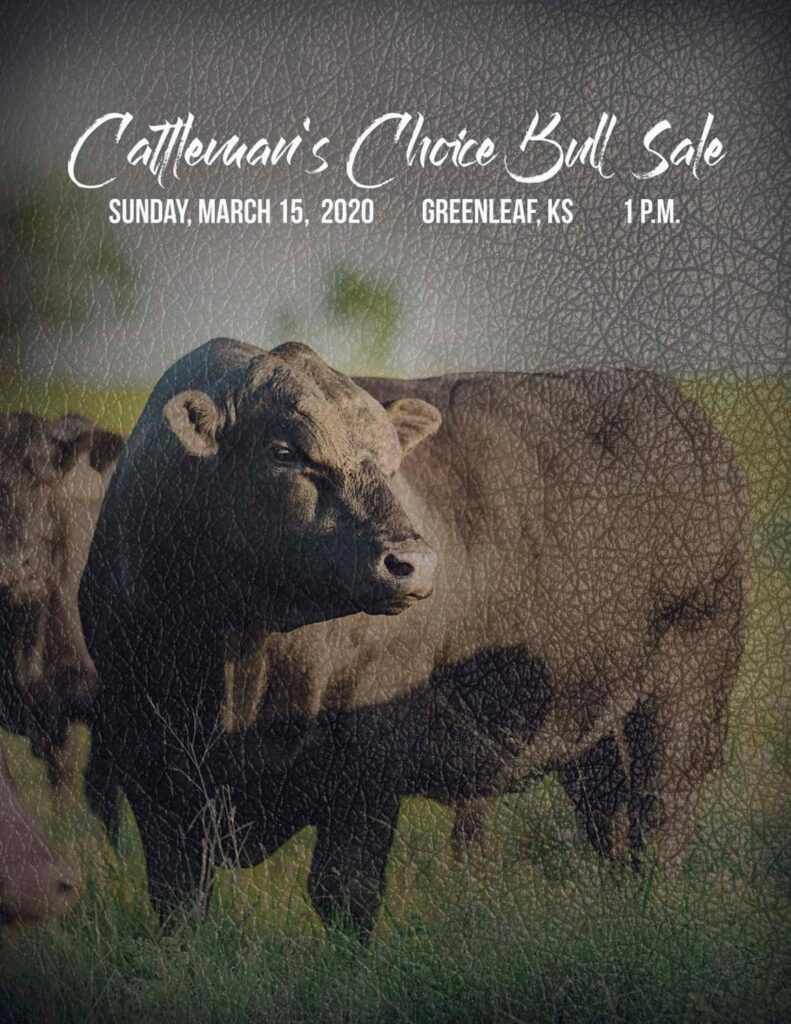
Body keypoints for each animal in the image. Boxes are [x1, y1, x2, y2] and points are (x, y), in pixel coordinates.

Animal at [80, 339, 750, 936]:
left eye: (390, 462)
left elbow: (344, 893)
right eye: (285, 451)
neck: (235, 657)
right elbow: (178, 899)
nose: (413, 563)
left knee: (659, 827)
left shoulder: (368, 770)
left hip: (685, 697)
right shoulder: (148, 773)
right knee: (611, 830)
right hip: (596, 734)